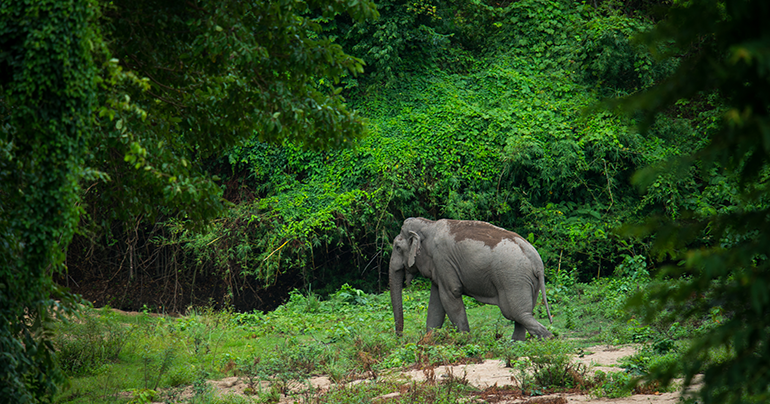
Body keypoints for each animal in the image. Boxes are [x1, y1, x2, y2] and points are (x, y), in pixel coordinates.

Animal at [390, 218, 552, 340]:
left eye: (397, 247)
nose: (400, 338)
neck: (429, 224)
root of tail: (537, 262)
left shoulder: (443, 260)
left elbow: (450, 296)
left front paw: (463, 340)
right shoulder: (439, 267)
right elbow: (436, 304)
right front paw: (429, 341)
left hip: (513, 278)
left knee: (517, 314)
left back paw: (547, 339)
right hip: (529, 282)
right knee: (522, 315)